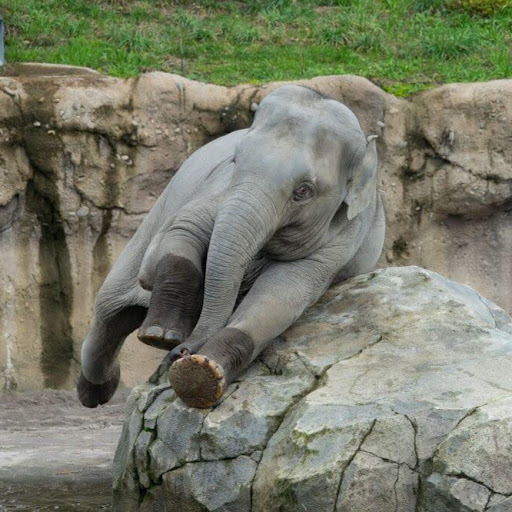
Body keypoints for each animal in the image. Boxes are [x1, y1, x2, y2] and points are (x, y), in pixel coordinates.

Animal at [77, 85, 385, 409]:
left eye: (303, 191)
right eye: (236, 160)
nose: (180, 351)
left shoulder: (342, 240)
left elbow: (281, 296)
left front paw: (200, 374)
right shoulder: (218, 186)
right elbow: (182, 229)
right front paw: (160, 336)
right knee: (111, 309)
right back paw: (96, 390)